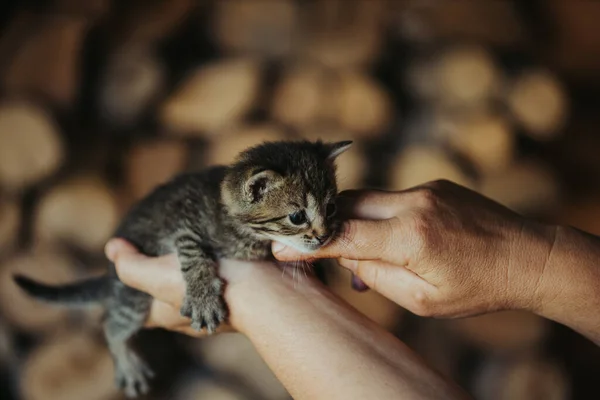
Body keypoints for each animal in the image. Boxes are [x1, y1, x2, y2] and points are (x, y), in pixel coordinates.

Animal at [12, 140, 352, 396]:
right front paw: (203, 298)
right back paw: (127, 362)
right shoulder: (181, 224)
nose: (324, 236)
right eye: (297, 217)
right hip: (132, 297)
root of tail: (109, 274)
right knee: (110, 324)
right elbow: (193, 255)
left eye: (331, 207)